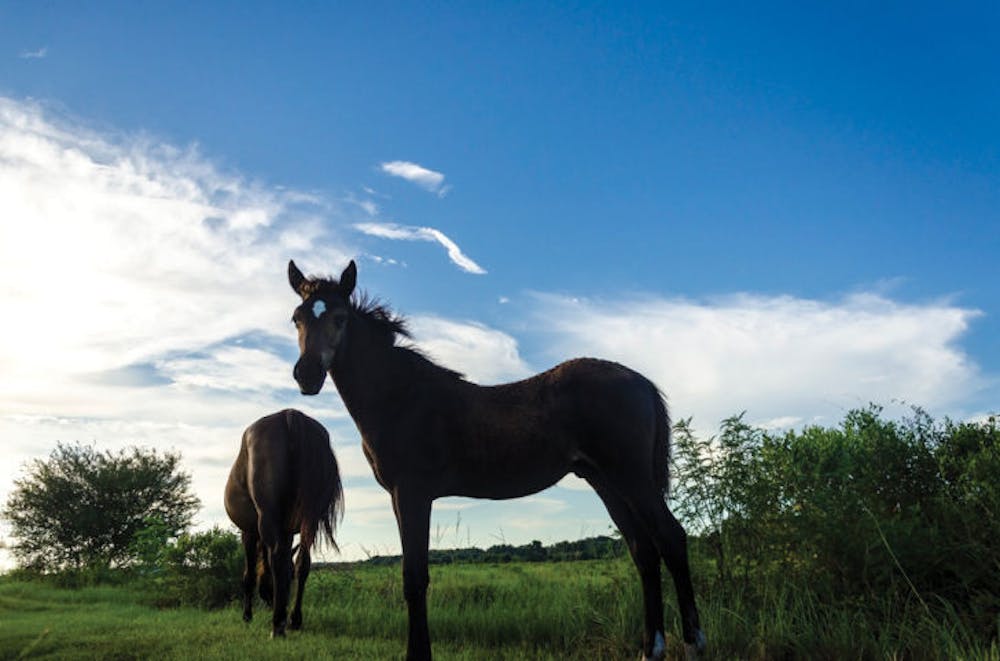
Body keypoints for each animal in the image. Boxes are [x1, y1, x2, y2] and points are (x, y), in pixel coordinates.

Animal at [224, 408, 344, 636]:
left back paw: (278, 624)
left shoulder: (248, 533)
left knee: (277, 557)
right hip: (310, 520)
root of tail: (290, 416)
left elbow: (249, 575)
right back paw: (294, 619)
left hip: (268, 516)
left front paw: (247, 616)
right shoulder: (287, 532)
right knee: (303, 563)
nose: (272, 601)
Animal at [286, 260, 708, 656]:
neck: (400, 396)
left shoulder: (413, 493)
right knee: (644, 550)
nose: (306, 375)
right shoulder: (398, 497)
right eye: (297, 318)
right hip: (606, 481)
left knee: (671, 537)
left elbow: (415, 578)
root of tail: (642, 382)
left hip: (631, 477)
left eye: (339, 318)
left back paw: (693, 644)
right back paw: (650, 649)